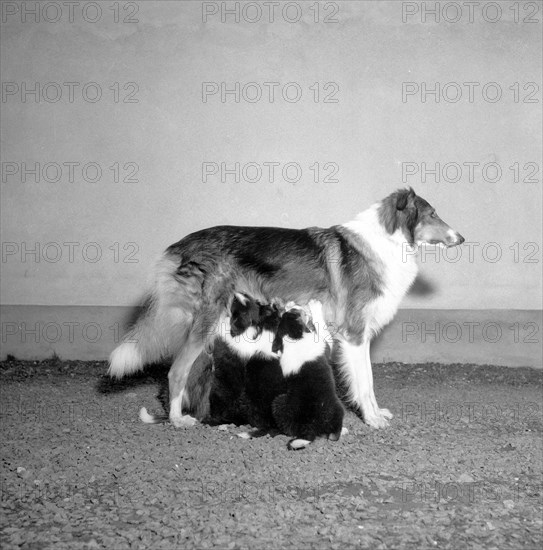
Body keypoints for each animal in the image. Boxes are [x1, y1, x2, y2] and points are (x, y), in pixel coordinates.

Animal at [109, 190, 464, 432]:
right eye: (432, 213)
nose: (461, 238)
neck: (386, 242)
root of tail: (176, 247)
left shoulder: (356, 335)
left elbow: (368, 381)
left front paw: (376, 413)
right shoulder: (354, 334)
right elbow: (365, 382)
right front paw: (372, 419)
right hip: (205, 321)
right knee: (175, 371)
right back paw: (178, 419)